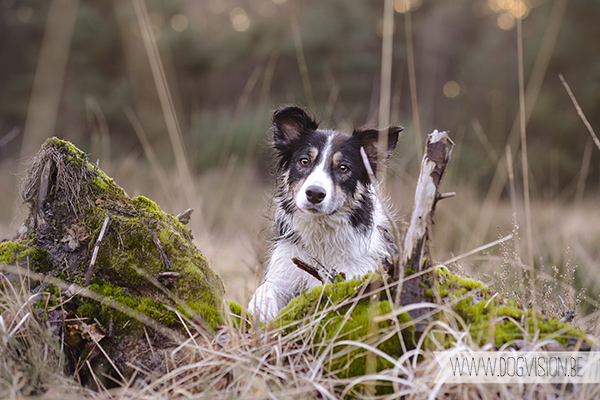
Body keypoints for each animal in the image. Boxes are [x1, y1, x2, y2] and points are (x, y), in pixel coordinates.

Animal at [248, 105, 404, 322]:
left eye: (343, 168)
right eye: (304, 161)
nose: (314, 194)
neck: (321, 231)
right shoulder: (286, 270)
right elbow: (265, 289)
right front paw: (262, 310)